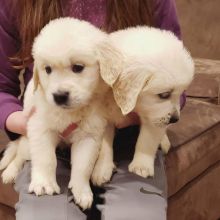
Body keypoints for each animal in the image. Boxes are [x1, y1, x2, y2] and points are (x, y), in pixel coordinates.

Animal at [0, 17, 111, 210]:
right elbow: (47, 158)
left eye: (78, 67)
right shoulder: (39, 127)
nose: (59, 96)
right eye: (47, 69)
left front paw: (81, 191)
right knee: (20, 155)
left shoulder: (89, 135)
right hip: (27, 141)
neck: (71, 112)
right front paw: (44, 184)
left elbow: (83, 165)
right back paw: (9, 173)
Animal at [91, 26, 194, 186]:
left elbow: (147, 140)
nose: (175, 119)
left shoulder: (154, 118)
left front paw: (141, 166)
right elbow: (104, 146)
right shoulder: (102, 116)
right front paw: (102, 169)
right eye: (164, 95)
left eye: (180, 93)